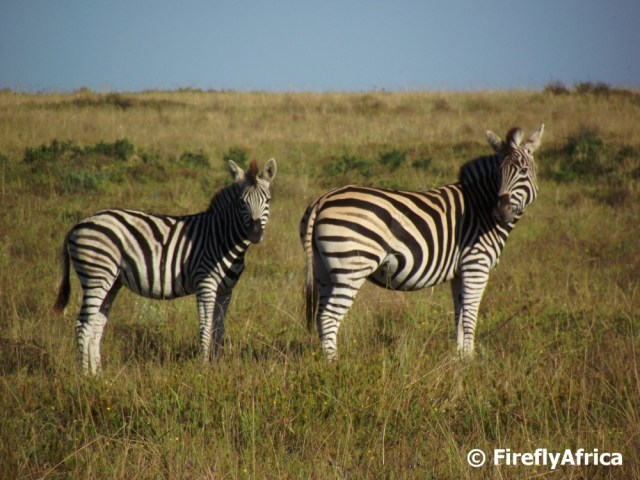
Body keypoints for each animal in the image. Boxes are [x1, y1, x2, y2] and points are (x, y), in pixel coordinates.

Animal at [54, 158, 277, 374]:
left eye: (268, 200)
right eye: (242, 202)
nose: (255, 233)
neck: (223, 238)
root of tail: (78, 224)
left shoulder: (226, 289)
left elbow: (219, 329)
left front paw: (216, 367)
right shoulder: (205, 283)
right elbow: (205, 328)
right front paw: (204, 369)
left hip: (112, 281)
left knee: (96, 324)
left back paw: (98, 374)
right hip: (96, 274)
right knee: (83, 325)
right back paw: (85, 376)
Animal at [300, 126, 544, 360]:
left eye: (523, 171)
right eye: (497, 173)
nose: (501, 212)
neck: (480, 207)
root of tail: (322, 200)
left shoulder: (459, 272)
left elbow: (459, 314)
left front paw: (459, 359)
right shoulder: (476, 265)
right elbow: (470, 315)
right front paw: (470, 359)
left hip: (324, 271)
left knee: (320, 315)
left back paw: (323, 360)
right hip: (351, 267)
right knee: (329, 317)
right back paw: (335, 364)